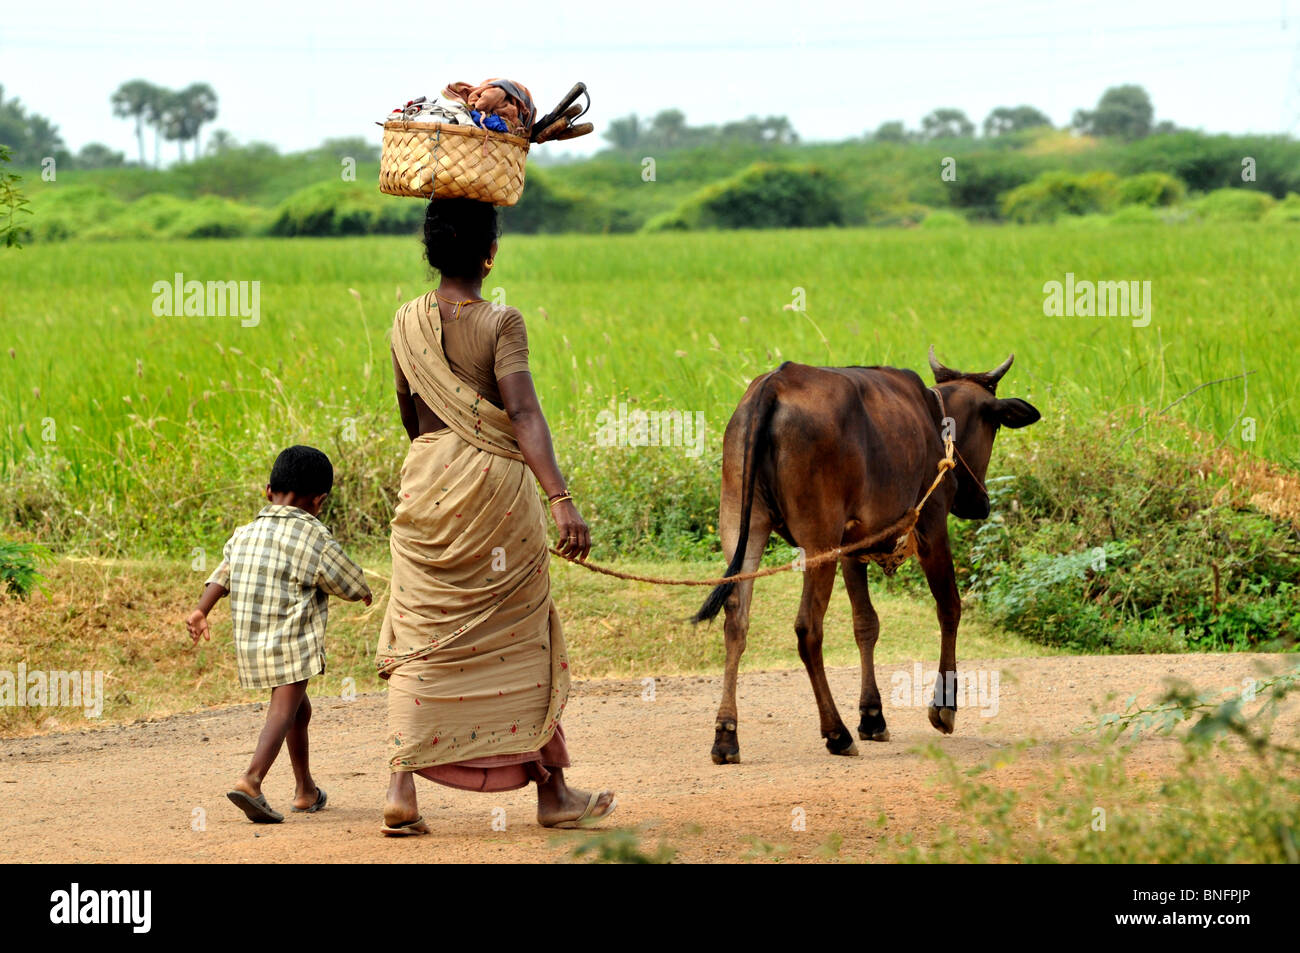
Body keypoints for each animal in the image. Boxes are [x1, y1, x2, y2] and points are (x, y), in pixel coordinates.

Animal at [696, 353, 1040, 764]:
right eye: (995, 426)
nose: (980, 503)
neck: (934, 416)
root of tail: (774, 384)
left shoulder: (853, 547)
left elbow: (866, 624)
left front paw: (873, 716)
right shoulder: (931, 526)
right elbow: (949, 608)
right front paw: (943, 707)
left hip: (741, 524)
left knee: (736, 621)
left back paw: (725, 735)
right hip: (818, 538)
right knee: (808, 628)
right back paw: (837, 733)